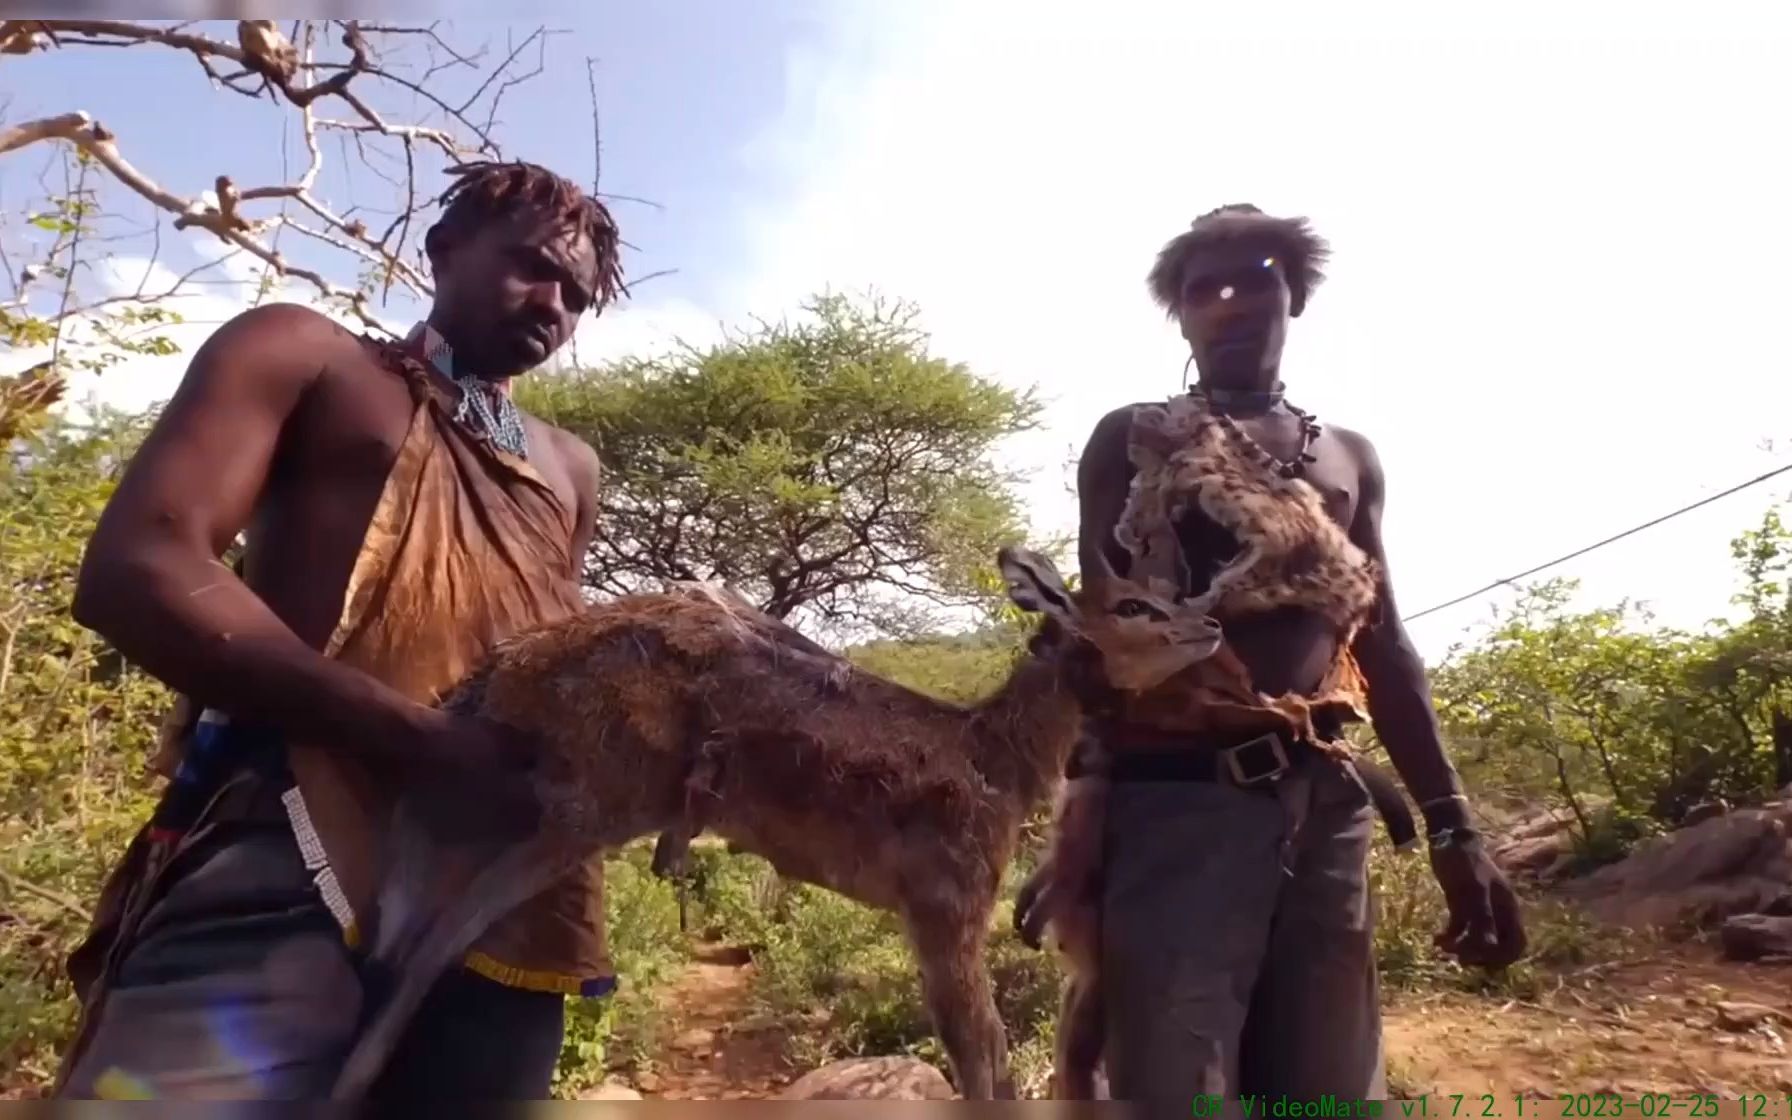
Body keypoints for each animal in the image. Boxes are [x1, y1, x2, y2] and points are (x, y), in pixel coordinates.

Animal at [326, 551, 1218, 1103]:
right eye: (1133, 604)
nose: (1208, 625)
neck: (996, 760)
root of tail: (500, 670)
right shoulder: (945, 903)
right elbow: (985, 1056)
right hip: (589, 803)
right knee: (431, 934)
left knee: (408, 913)